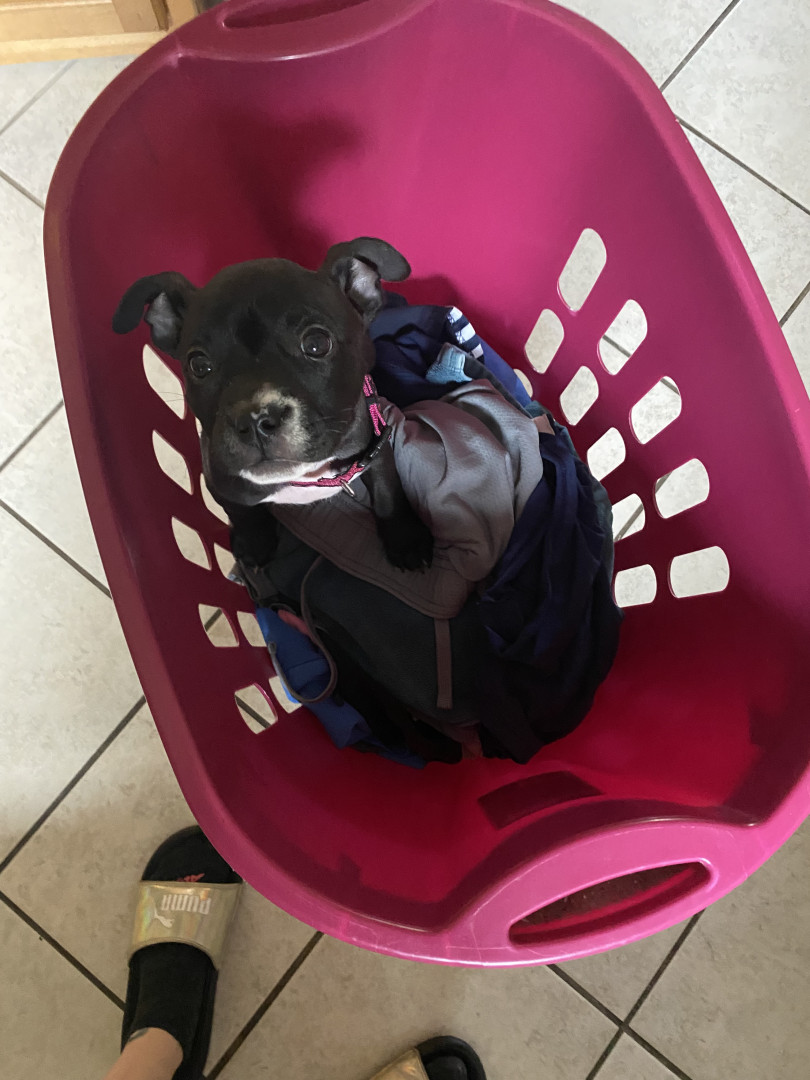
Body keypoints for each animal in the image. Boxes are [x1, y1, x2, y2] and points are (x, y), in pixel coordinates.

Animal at [113, 238, 434, 572]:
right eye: (199, 365)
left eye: (317, 344)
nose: (254, 418)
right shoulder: (219, 478)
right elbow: (241, 512)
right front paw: (254, 543)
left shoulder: (376, 447)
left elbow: (387, 491)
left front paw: (405, 538)